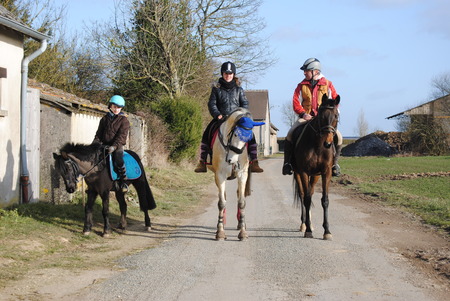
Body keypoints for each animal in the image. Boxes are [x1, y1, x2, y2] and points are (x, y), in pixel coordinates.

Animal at [207, 107, 264, 239]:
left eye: (248, 139)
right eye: (236, 134)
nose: (232, 160)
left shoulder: (242, 175)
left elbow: (242, 202)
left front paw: (243, 232)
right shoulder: (220, 175)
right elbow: (221, 203)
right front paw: (220, 231)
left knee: (238, 194)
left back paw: (240, 223)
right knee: (223, 197)